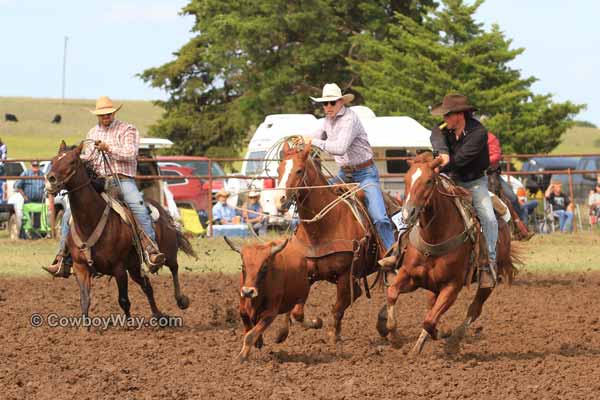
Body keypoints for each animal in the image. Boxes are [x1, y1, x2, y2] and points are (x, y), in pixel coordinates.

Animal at [47, 142, 197, 320]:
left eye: (72, 162)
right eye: (54, 160)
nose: (50, 179)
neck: (90, 222)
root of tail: (161, 208)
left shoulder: (119, 268)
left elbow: (124, 300)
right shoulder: (80, 268)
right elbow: (84, 301)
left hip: (167, 251)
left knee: (174, 267)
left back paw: (181, 300)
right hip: (134, 267)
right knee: (147, 286)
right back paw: (159, 315)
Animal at [274, 141, 380, 344]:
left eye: (299, 170)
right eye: (279, 169)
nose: (279, 200)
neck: (323, 227)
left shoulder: (345, 274)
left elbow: (337, 308)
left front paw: (332, 335)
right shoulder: (308, 273)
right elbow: (297, 311)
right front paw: (312, 323)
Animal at [380, 152, 516, 354]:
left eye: (429, 180)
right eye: (405, 179)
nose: (407, 213)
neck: (434, 237)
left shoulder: (452, 286)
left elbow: (429, 320)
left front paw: (442, 334)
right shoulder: (409, 276)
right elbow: (392, 293)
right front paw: (395, 338)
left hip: (488, 282)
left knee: (474, 309)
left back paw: (453, 341)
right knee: (431, 305)